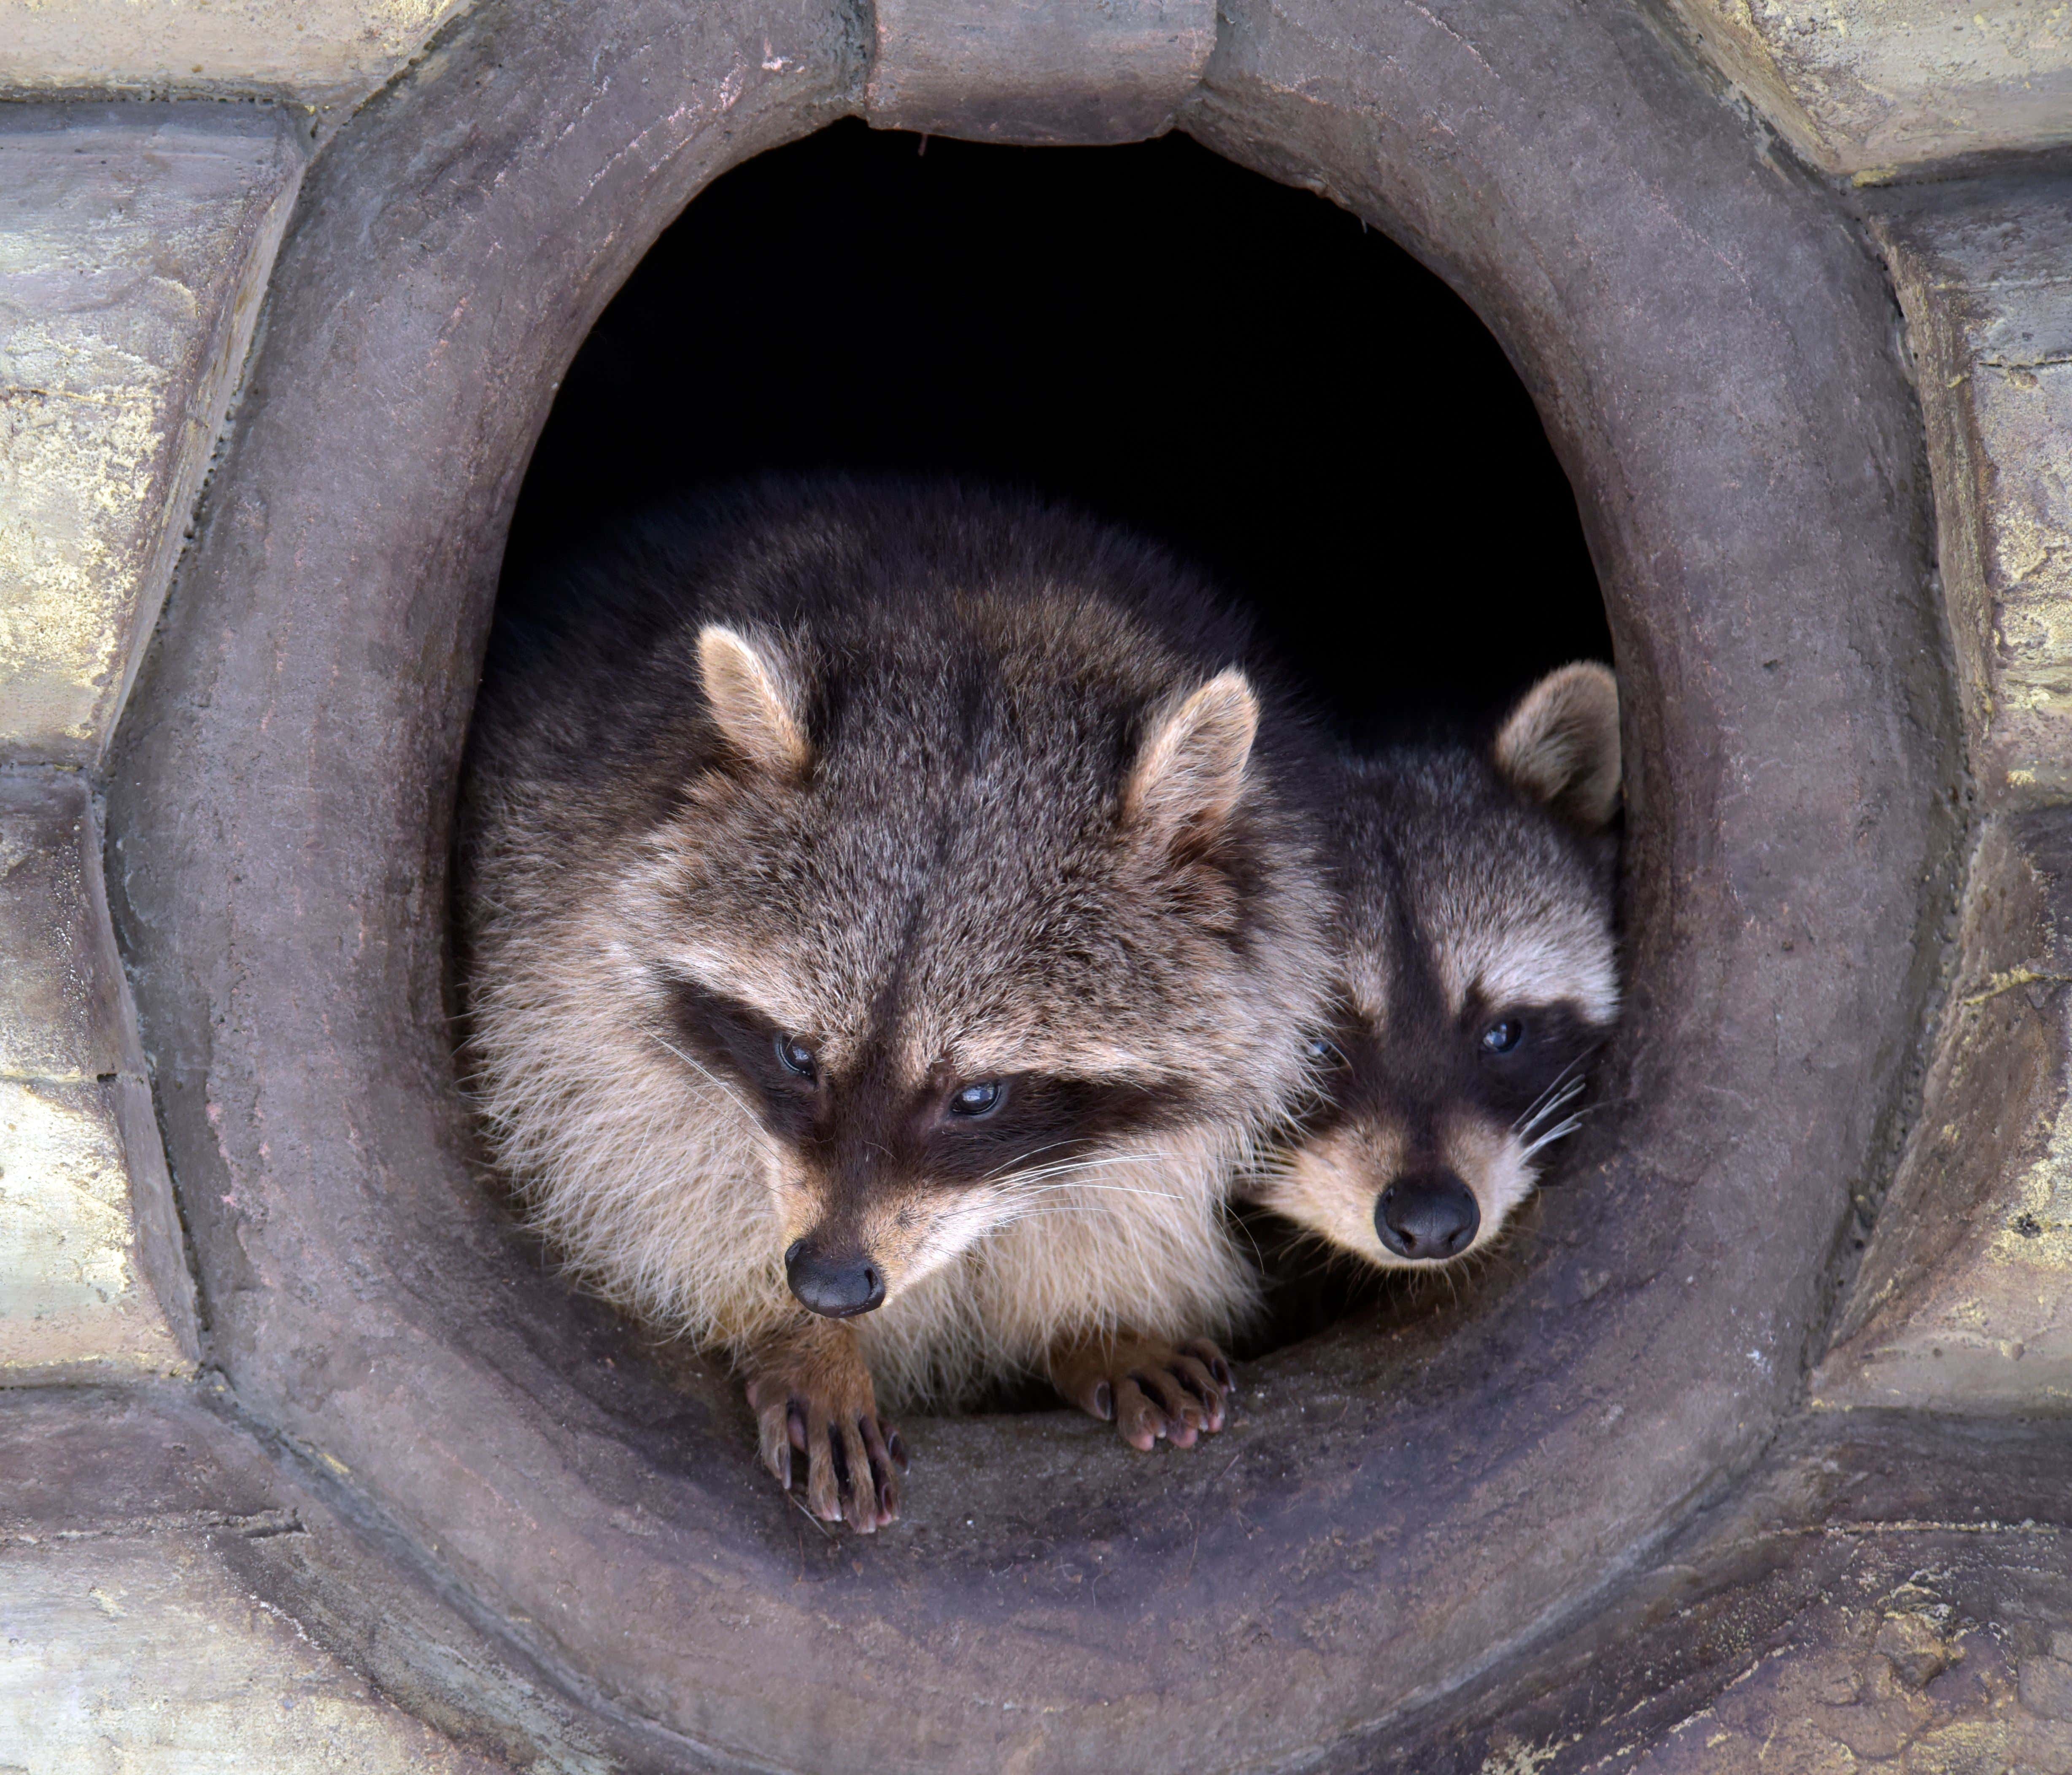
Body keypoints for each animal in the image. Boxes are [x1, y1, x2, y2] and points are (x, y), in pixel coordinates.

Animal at [459, 479, 1332, 1530]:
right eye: (796, 1057)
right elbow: (619, 1150)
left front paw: (1101, 1314)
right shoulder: (560, 901)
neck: (980, 618)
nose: (826, 1284)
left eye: (977, 1097)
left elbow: (1131, 1183)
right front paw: (791, 1331)